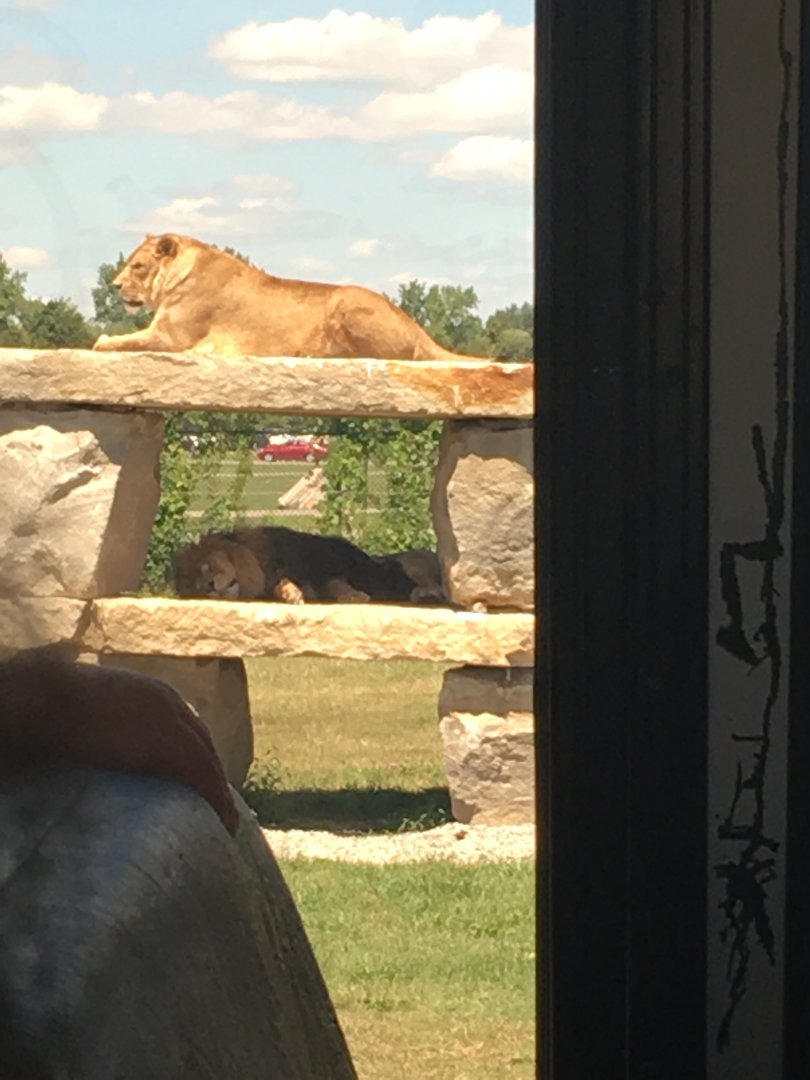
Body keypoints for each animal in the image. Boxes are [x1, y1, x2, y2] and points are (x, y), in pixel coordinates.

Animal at [93, 233, 491, 360]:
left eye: (138, 266)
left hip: (346, 303)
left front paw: (102, 339)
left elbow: (118, 342)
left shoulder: (171, 337)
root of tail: (416, 326)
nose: (114, 285)